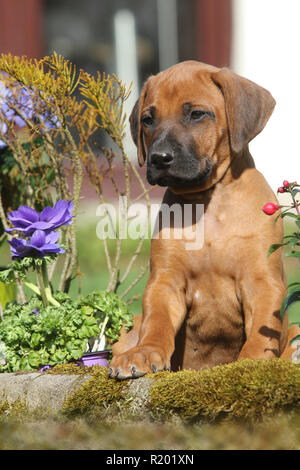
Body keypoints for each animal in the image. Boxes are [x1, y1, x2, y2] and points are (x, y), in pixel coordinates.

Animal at [109, 60, 298, 380]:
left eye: (197, 114)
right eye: (148, 120)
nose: (159, 158)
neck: (208, 202)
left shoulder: (261, 282)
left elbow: (262, 333)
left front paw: (250, 363)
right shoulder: (165, 282)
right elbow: (157, 322)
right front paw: (146, 352)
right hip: (127, 327)